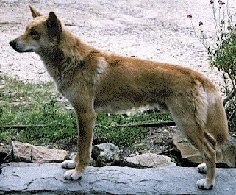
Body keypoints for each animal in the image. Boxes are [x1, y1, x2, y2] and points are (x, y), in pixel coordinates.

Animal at [10, 6, 230, 190]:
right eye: (25, 29)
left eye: (34, 33)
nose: (11, 43)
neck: (74, 61)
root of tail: (196, 75)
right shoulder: (81, 115)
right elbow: (80, 148)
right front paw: (73, 164)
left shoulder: (86, 114)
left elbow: (83, 149)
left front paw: (77, 173)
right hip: (191, 124)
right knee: (212, 145)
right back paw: (205, 168)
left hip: (186, 124)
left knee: (209, 150)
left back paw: (209, 182)